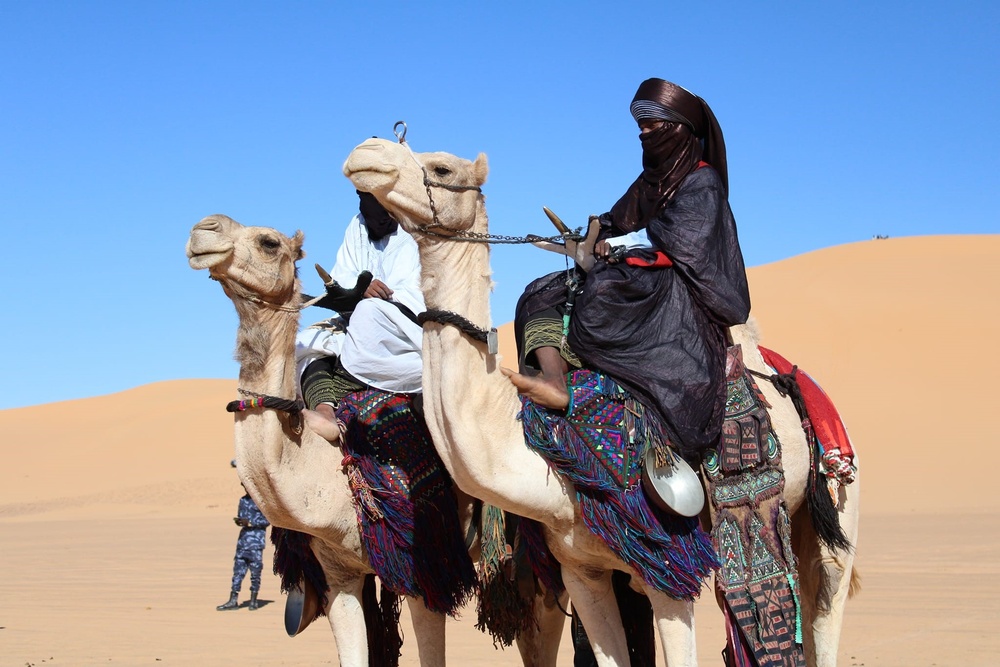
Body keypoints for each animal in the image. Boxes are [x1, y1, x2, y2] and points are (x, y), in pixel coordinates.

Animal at [342, 137, 860, 667]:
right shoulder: (581, 570)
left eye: (442, 167)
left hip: (834, 514)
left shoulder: (670, 564)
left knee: (825, 602)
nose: (366, 151)